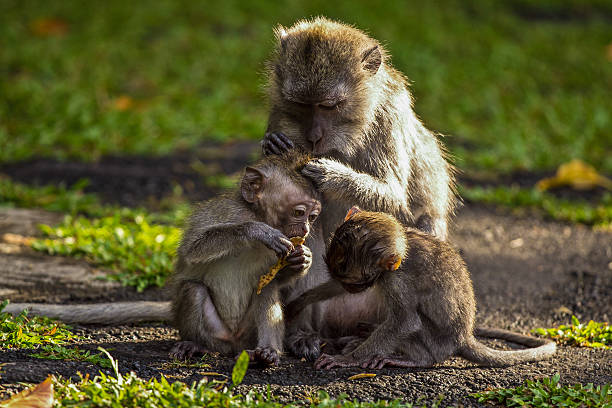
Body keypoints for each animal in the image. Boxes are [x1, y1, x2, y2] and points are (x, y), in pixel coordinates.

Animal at [260, 17, 456, 358]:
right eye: (301, 105)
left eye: (329, 106)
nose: (313, 137)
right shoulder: (279, 112)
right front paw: (274, 147)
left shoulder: (388, 119)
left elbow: (397, 202)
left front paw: (331, 174)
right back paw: (304, 334)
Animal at [284, 207, 556, 370]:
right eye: (345, 283)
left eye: (356, 283)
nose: (351, 290)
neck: (403, 244)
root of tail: (464, 337)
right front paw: (301, 300)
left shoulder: (396, 281)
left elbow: (406, 322)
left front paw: (346, 360)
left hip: (435, 344)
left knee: (417, 332)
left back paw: (412, 359)